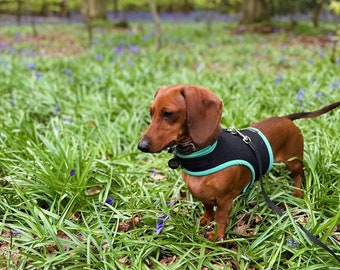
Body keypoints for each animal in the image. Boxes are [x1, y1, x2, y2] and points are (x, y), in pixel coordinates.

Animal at [138, 84, 340, 240]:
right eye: (151, 112)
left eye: (168, 114)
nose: (141, 146)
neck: (205, 153)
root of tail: (285, 118)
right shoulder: (203, 195)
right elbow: (207, 208)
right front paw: (206, 220)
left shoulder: (225, 200)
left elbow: (220, 218)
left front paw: (216, 237)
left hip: (294, 161)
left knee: (299, 174)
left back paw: (297, 194)